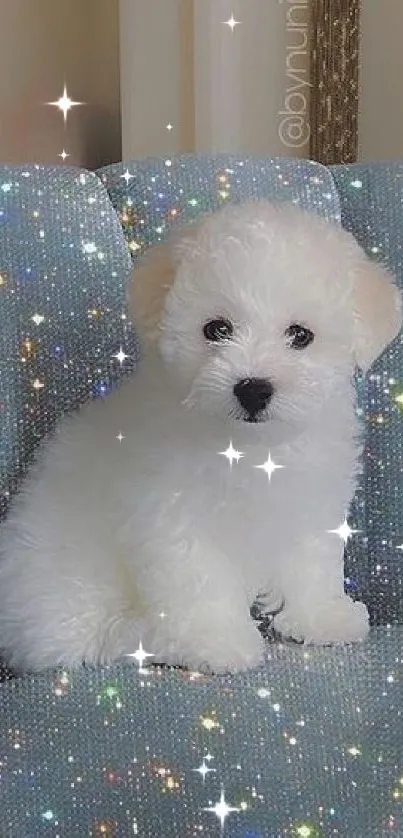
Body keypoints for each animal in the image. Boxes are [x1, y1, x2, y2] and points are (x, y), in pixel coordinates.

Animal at [0, 202, 400, 676]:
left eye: (301, 335)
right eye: (216, 329)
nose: (253, 388)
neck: (251, 448)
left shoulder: (310, 500)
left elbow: (313, 560)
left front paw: (322, 617)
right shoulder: (173, 516)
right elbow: (199, 582)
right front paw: (218, 643)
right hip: (71, 588)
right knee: (96, 637)